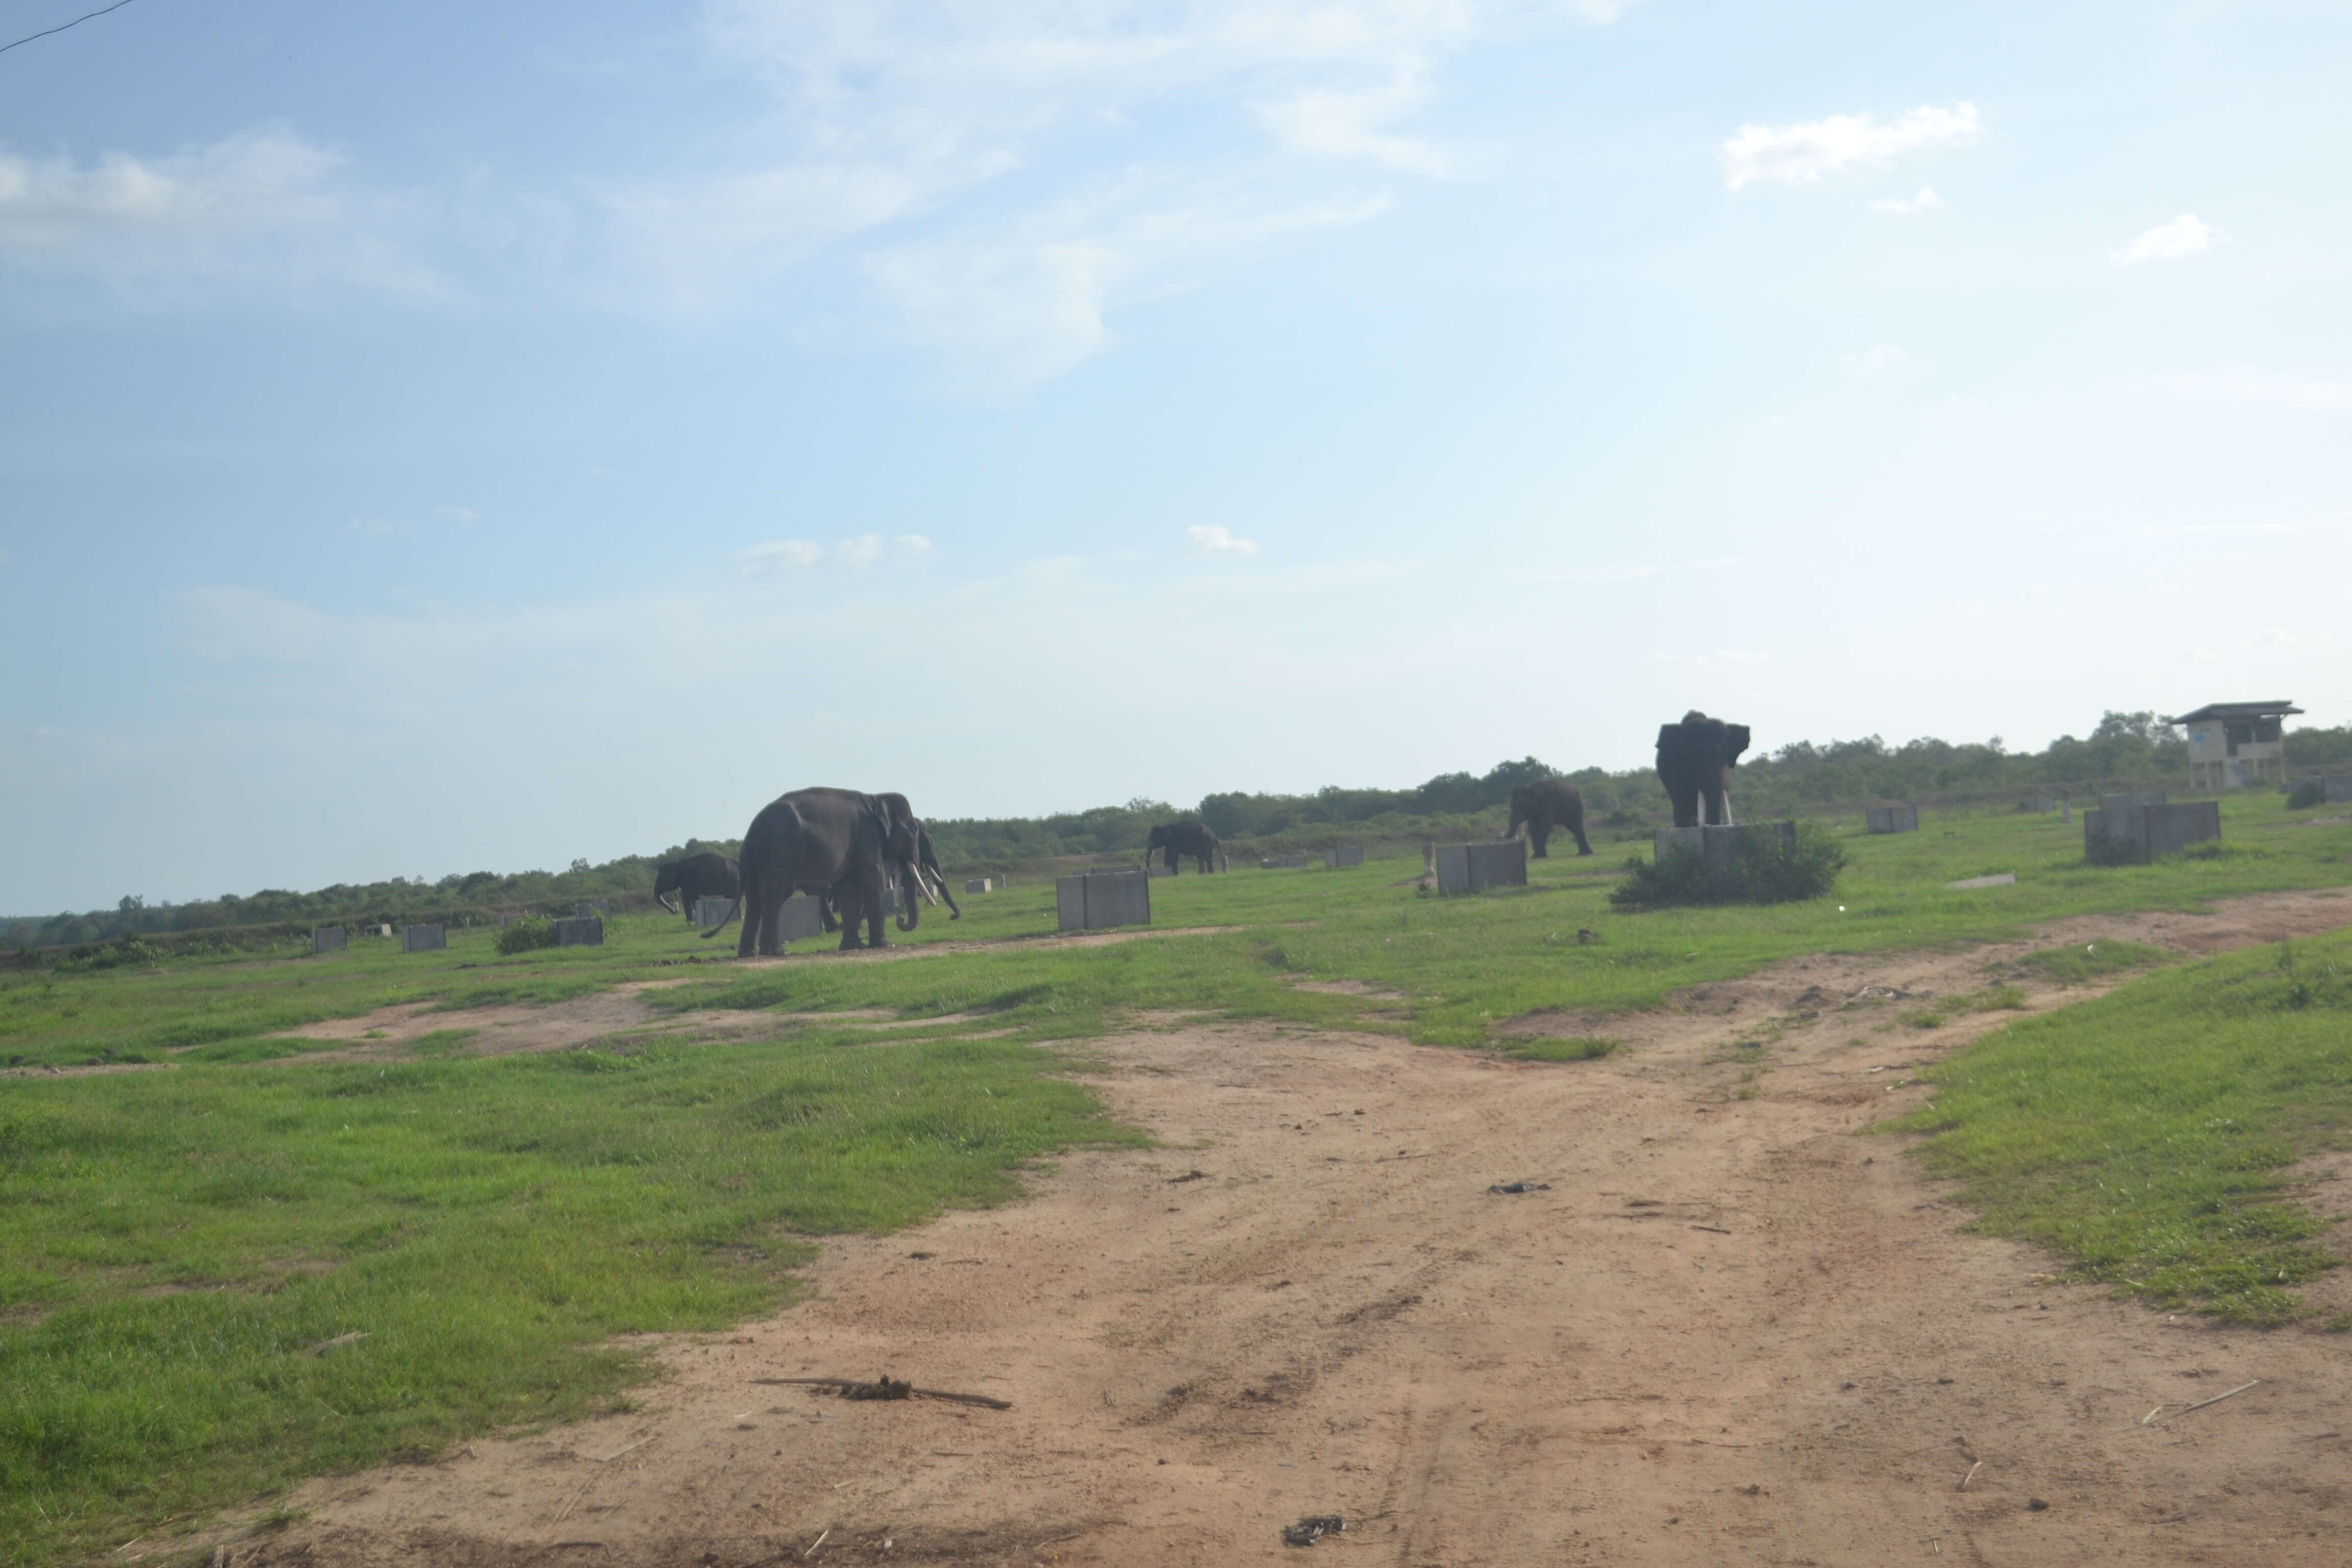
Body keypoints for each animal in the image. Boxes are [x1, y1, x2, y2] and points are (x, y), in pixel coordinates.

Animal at [649, 860, 738, 921]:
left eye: (660, 879)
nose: (675, 911)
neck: (677, 863)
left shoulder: (687, 880)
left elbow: (686, 897)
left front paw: (689, 920)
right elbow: (695, 897)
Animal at [701, 785, 894, 959]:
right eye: (910, 830)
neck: (875, 798)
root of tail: (754, 828)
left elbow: (848, 887)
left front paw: (854, 945)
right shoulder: (867, 835)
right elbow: (872, 877)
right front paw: (885, 945)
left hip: (756, 860)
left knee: (755, 898)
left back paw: (749, 954)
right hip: (781, 851)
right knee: (776, 894)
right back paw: (777, 952)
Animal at [1147, 827, 1223, 879]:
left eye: (1153, 839)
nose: (1150, 877)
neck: (1164, 827)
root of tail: (1213, 833)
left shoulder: (1174, 842)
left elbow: (1173, 856)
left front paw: (1174, 875)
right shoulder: (1169, 844)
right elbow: (1167, 855)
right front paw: (1170, 875)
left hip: (1204, 842)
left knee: (1201, 856)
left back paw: (1201, 873)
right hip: (1210, 843)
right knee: (1208, 857)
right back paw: (1211, 873)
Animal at [1505, 775, 1599, 860]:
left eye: (1522, 806)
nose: (1500, 838)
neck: (1532, 787)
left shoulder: (1547, 805)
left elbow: (1545, 827)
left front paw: (1539, 857)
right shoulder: (1535, 811)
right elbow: (1533, 828)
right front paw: (1536, 857)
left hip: (1577, 807)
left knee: (1577, 827)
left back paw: (1586, 854)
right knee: (1575, 828)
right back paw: (1583, 854)